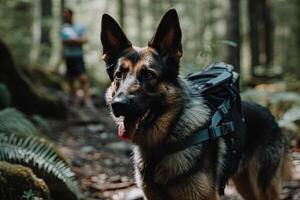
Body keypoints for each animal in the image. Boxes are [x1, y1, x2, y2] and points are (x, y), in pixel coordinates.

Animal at [100, 9, 290, 198]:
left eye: (148, 75)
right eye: (118, 75)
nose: (118, 104)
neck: (162, 144)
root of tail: (270, 113)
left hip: (263, 188)